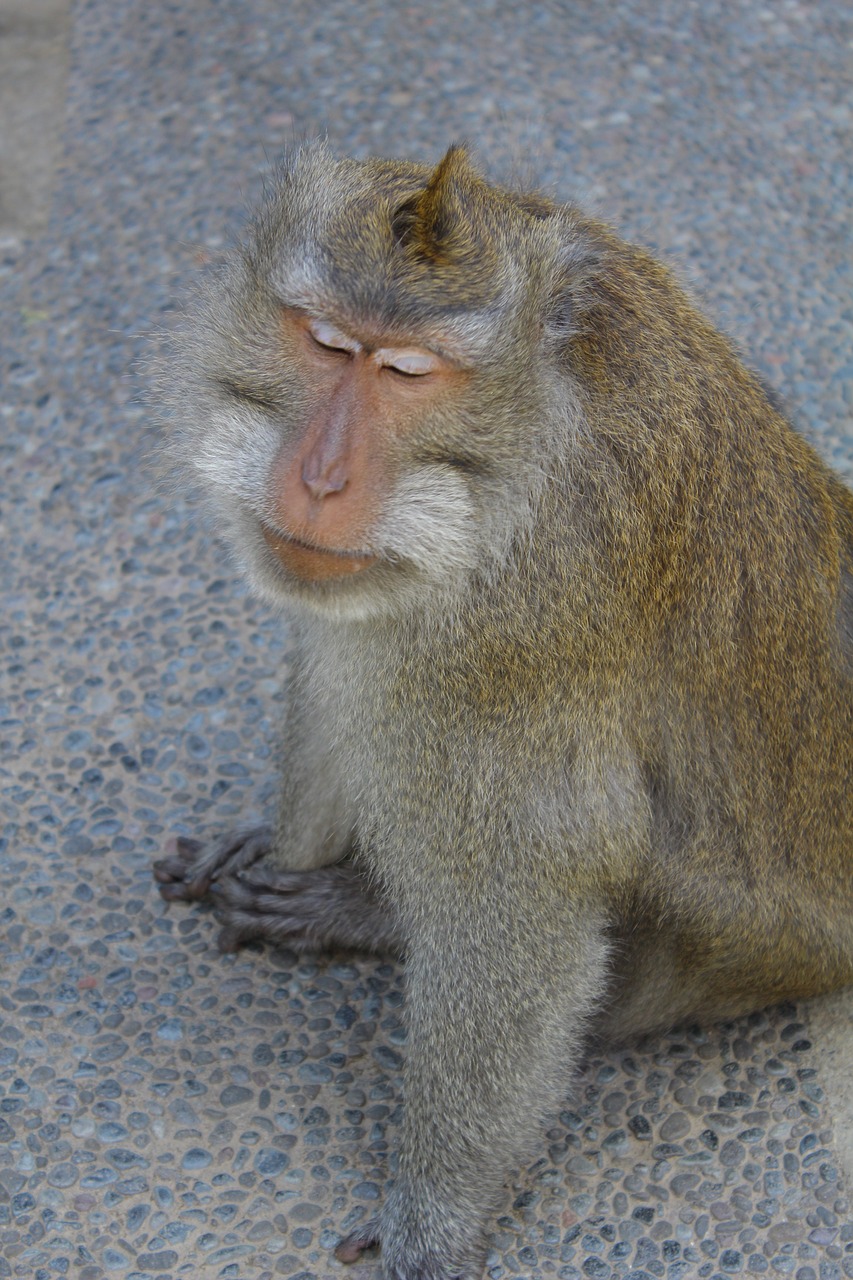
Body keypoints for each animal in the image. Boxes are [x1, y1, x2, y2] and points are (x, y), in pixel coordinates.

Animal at [153, 142, 850, 1280]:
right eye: (327, 343)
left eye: (405, 373)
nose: (319, 477)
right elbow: (343, 641)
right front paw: (288, 846)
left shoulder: (530, 601)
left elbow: (527, 901)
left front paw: (431, 1224)